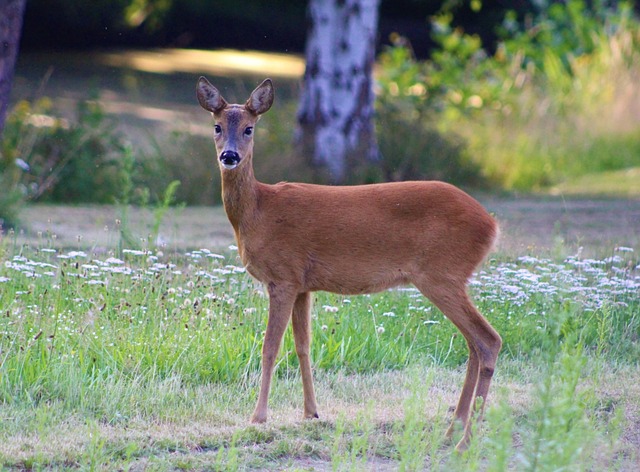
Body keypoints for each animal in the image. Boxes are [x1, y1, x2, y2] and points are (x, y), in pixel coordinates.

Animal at [196, 77, 502, 451]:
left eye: (249, 129)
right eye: (217, 126)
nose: (229, 156)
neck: (257, 212)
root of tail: (491, 224)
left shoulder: (282, 276)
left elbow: (270, 347)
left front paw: (258, 417)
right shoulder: (303, 284)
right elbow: (303, 346)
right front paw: (311, 412)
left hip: (441, 274)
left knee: (487, 340)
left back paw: (465, 439)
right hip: (450, 278)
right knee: (473, 343)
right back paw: (453, 429)